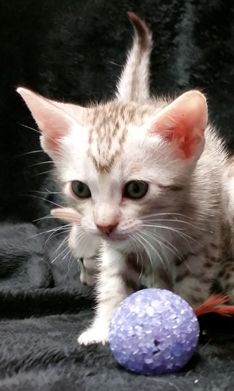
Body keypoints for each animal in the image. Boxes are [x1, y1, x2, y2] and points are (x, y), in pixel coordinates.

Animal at [16, 10, 234, 344]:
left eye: (135, 189)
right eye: (80, 189)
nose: (104, 226)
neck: (161, 221)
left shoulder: (204, 244)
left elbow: (192, 286)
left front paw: (185, 322)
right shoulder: (118, 249)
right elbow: (114, 282)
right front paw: (103, 327)